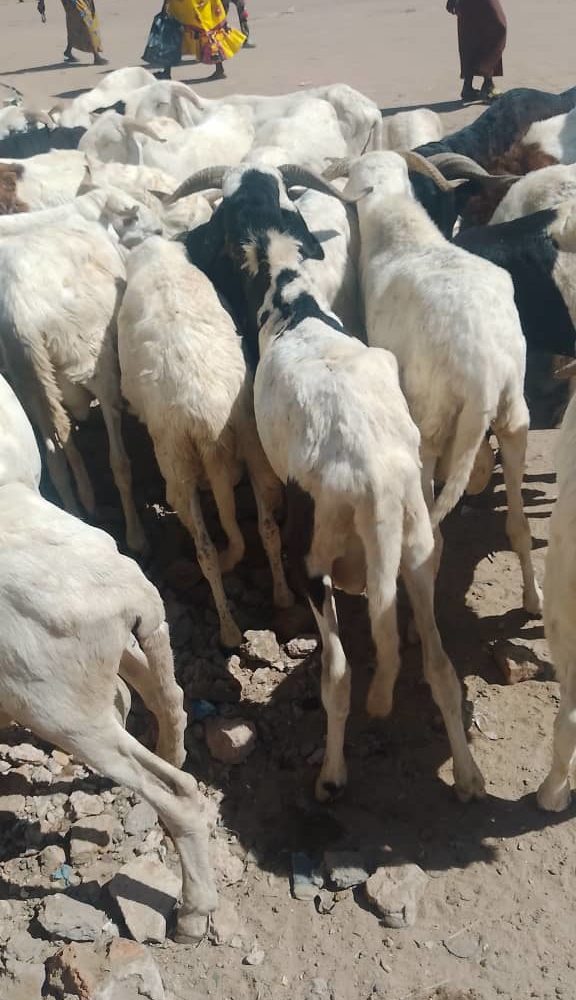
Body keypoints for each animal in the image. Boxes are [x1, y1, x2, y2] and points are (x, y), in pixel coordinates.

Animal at [0, 215, 146, 551]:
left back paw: (77, 512)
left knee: (54, 458)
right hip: (95, 363)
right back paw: (135, 536)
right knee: (119, 463)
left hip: (28, 383)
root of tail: (21, 316)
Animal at [0, 371, 216, 942]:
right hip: (109, 665)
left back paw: (192, 913)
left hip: (63, 713)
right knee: (168, 700)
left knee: (178, 794)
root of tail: (129, 587)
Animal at [118, 236, 293, 647]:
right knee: (267, 530)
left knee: (205, 549)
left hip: (176, 463)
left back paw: (228, 630)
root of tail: (206, 420)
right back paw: (281, 596)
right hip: (254, 442)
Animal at [175, 162, 485, 803]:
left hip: (315, 562)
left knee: (338, 676)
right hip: (418, 549)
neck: (296, 305)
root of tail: (376, 484)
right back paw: (468, 777)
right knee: (440, 667)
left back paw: (331, 776)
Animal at [339, 151, 541, 615]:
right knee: (518, 524)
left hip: (427, 430)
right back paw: (532, 598)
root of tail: (484, 370)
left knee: (431, 545)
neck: (402, 229)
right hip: (514, 414)